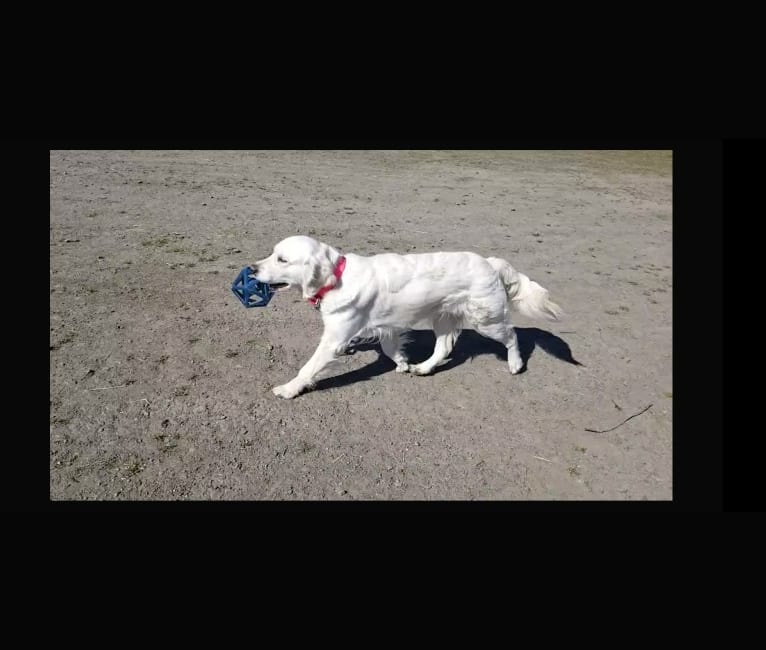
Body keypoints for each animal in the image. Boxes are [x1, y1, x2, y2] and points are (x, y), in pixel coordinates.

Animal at [255, 235, 560, 398]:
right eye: (272, 253)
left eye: (282, 259)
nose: (252, 268)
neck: (338, 277)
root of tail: (491, 262)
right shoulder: (387, 325)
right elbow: (390, 348)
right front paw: (402, 362)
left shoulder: (334, 339)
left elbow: (308, 368)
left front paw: (289, 389)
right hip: (444, 317)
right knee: (444, 347)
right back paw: (423, 368)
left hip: (487, 321)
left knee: (512, 335)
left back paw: (516, 364)